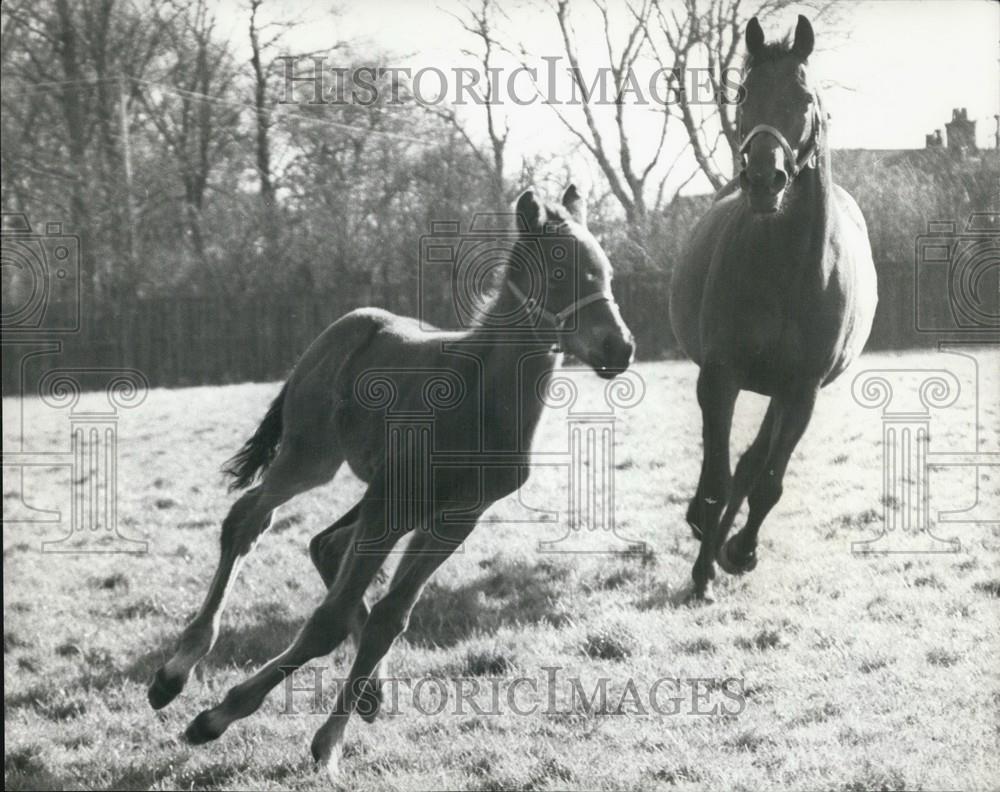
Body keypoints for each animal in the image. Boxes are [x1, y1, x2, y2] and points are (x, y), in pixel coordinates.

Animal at [147, 185, 634, 776]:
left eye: (605, 272)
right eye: (560, 271)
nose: (620, 348)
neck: (479, 399)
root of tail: (348, 323)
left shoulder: (455, 518)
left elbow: (390, 618)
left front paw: (330, 740)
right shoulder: (392, 502)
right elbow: (329, 621)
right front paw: (218, 717)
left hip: (380, 491)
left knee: (324, 543)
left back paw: (370, 692)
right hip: (315, 457)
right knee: (250, 519)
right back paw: (176, 670)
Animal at [668, 15, 877, 601]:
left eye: (804, 97)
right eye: (742, 93)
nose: (764, 179)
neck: (787, 268)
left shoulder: (801, 390)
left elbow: (766, 483)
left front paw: (740, 552)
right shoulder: (720, 377)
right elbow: (716, 483)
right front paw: (704, 568)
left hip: (781, 392)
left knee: (752, 464)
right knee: (728, 469)